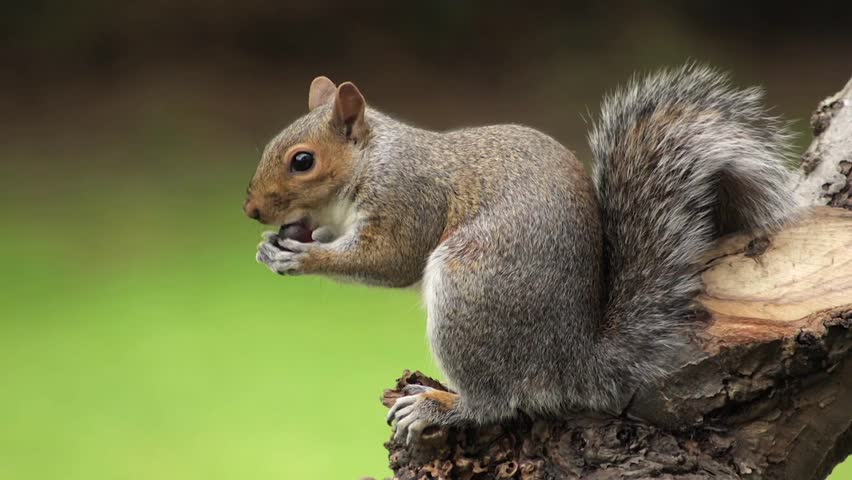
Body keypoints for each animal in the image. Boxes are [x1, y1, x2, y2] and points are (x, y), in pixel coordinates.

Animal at [244, 64, 800, 443]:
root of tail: (571, 360)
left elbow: (390, 260)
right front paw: (272, 247)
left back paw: (438, 406)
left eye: (302, 161)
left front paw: (302, 258)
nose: (251, 210)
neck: (373, 161)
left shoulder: (408, 198)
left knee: (494, 403)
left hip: (470, 289)